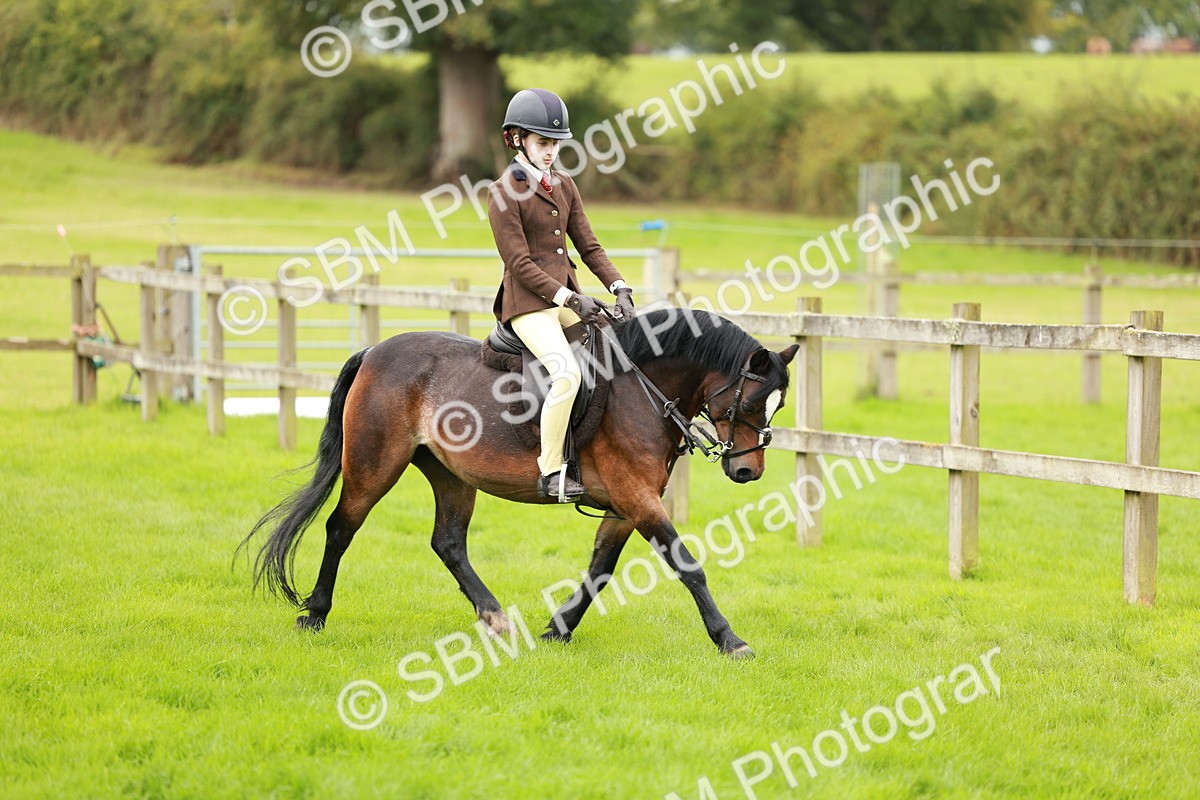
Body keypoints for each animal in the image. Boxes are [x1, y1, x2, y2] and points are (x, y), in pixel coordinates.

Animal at [239, 308, 798, 658]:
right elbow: (688, 566)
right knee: (341, 528)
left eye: (779, 405)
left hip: (450, 474)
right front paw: (730, 640)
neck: (641, 386)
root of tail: (375, 350)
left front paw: (557, 630)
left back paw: (496, 618)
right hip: (375, 464)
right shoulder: (636, 498)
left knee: (448, 543)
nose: (747, 471)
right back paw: (315, 613)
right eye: (751, 402)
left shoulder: (625, 505)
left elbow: (600, 570)